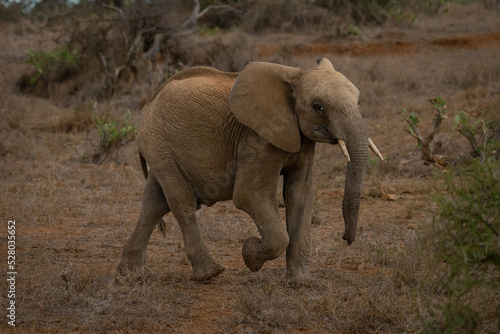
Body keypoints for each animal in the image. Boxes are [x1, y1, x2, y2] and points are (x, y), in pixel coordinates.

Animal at [118, 58, 382, 284]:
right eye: (318, 107)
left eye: (359, 103)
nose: (346, 239)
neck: (295, 76)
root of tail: (150, 101)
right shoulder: (257, 139)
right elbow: (250, 195)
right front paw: (250, 255)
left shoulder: (302, 139)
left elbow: (300, 197)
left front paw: (300, 283)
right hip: (159, 144)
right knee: (181, 203)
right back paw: (210, 273)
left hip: (161, 149)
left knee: (155, 203)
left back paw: (130, 274)